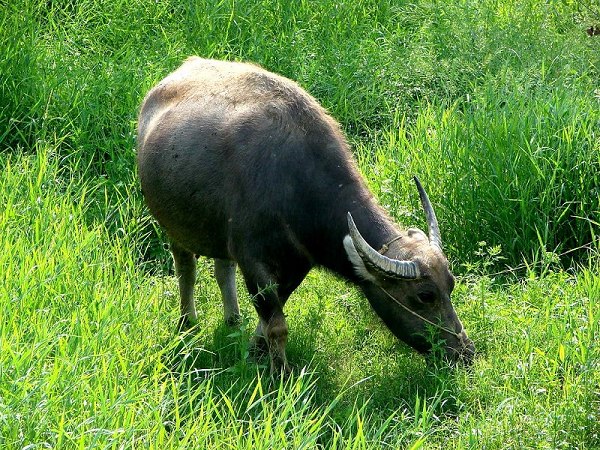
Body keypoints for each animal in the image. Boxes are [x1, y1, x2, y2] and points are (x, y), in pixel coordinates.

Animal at [136, 57, 474, 372]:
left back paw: (233, 320)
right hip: (172, 224)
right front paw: (281, 374)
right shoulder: (254, 262)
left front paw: (255, 352)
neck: (295, 182)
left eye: (451, 284)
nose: (464, 353)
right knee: (186, 268)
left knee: (222, 269)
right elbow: (277, 326)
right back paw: (187, 322)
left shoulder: (297, 264)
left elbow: (268, 319)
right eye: (425, 295)